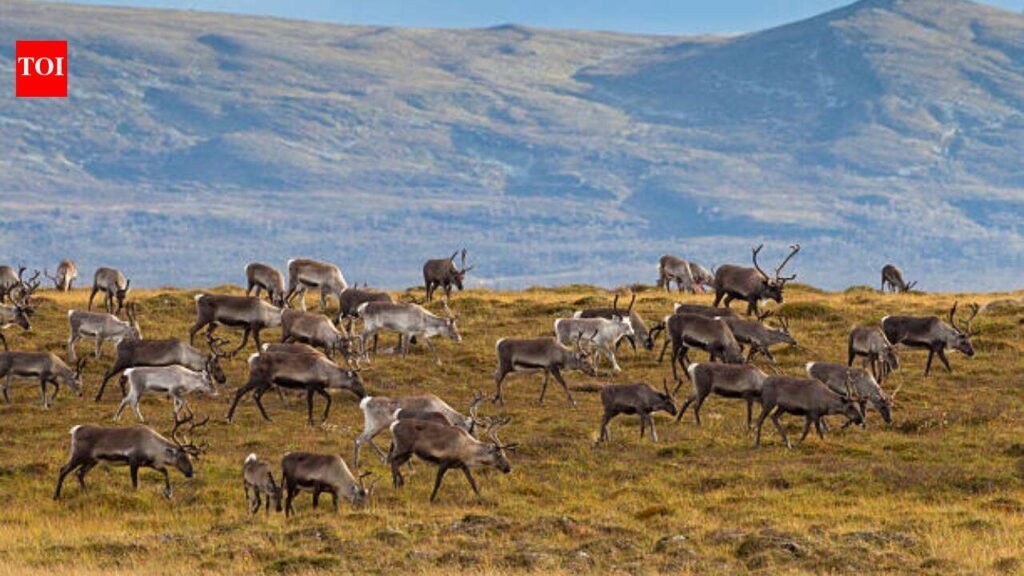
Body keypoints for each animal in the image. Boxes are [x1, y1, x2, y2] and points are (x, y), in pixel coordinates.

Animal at [53, 409, 207, 500]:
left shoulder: (150, 463)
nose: (190, 472)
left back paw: (87, 493)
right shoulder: (133, 461)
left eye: (190, 457)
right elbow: (135, 483)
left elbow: (165, 471)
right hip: (78, 455)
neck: (152, 445)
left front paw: (169, 493)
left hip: (92, 460)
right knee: (63, 469)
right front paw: (135, 495)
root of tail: (75, 430)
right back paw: (56, 496)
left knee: (80, 473)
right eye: (182, 457)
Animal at [95, 334, 228, 402]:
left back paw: (124, 397)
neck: (186, 355)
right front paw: (169, 397)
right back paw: (98, 397)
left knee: (121, 380)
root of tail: (118, 344)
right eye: (217, 366)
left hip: (128, 365)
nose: (223, 379)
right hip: (121, 362)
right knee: (107, 374)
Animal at [226, 350, 365, 426]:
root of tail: (251, 359)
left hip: (267, 383)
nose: (364, 395)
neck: (328, 373)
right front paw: (311, 421)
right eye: (357, 382)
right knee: (241, 391)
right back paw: (229, 417)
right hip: (258, 378)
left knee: (256, 395)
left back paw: (267, 418)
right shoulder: (310, 386)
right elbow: (310, 403)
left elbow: (329, 398)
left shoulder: (318, 387)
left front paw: (323, 418)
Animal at [353, 392, 485, 467]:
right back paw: (358, 464)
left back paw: (382, 458)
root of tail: (366, 402)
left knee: (364, 438)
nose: (477, 441)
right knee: (361, 439)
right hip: (377, 425)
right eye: (472, 428)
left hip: (371, 424)